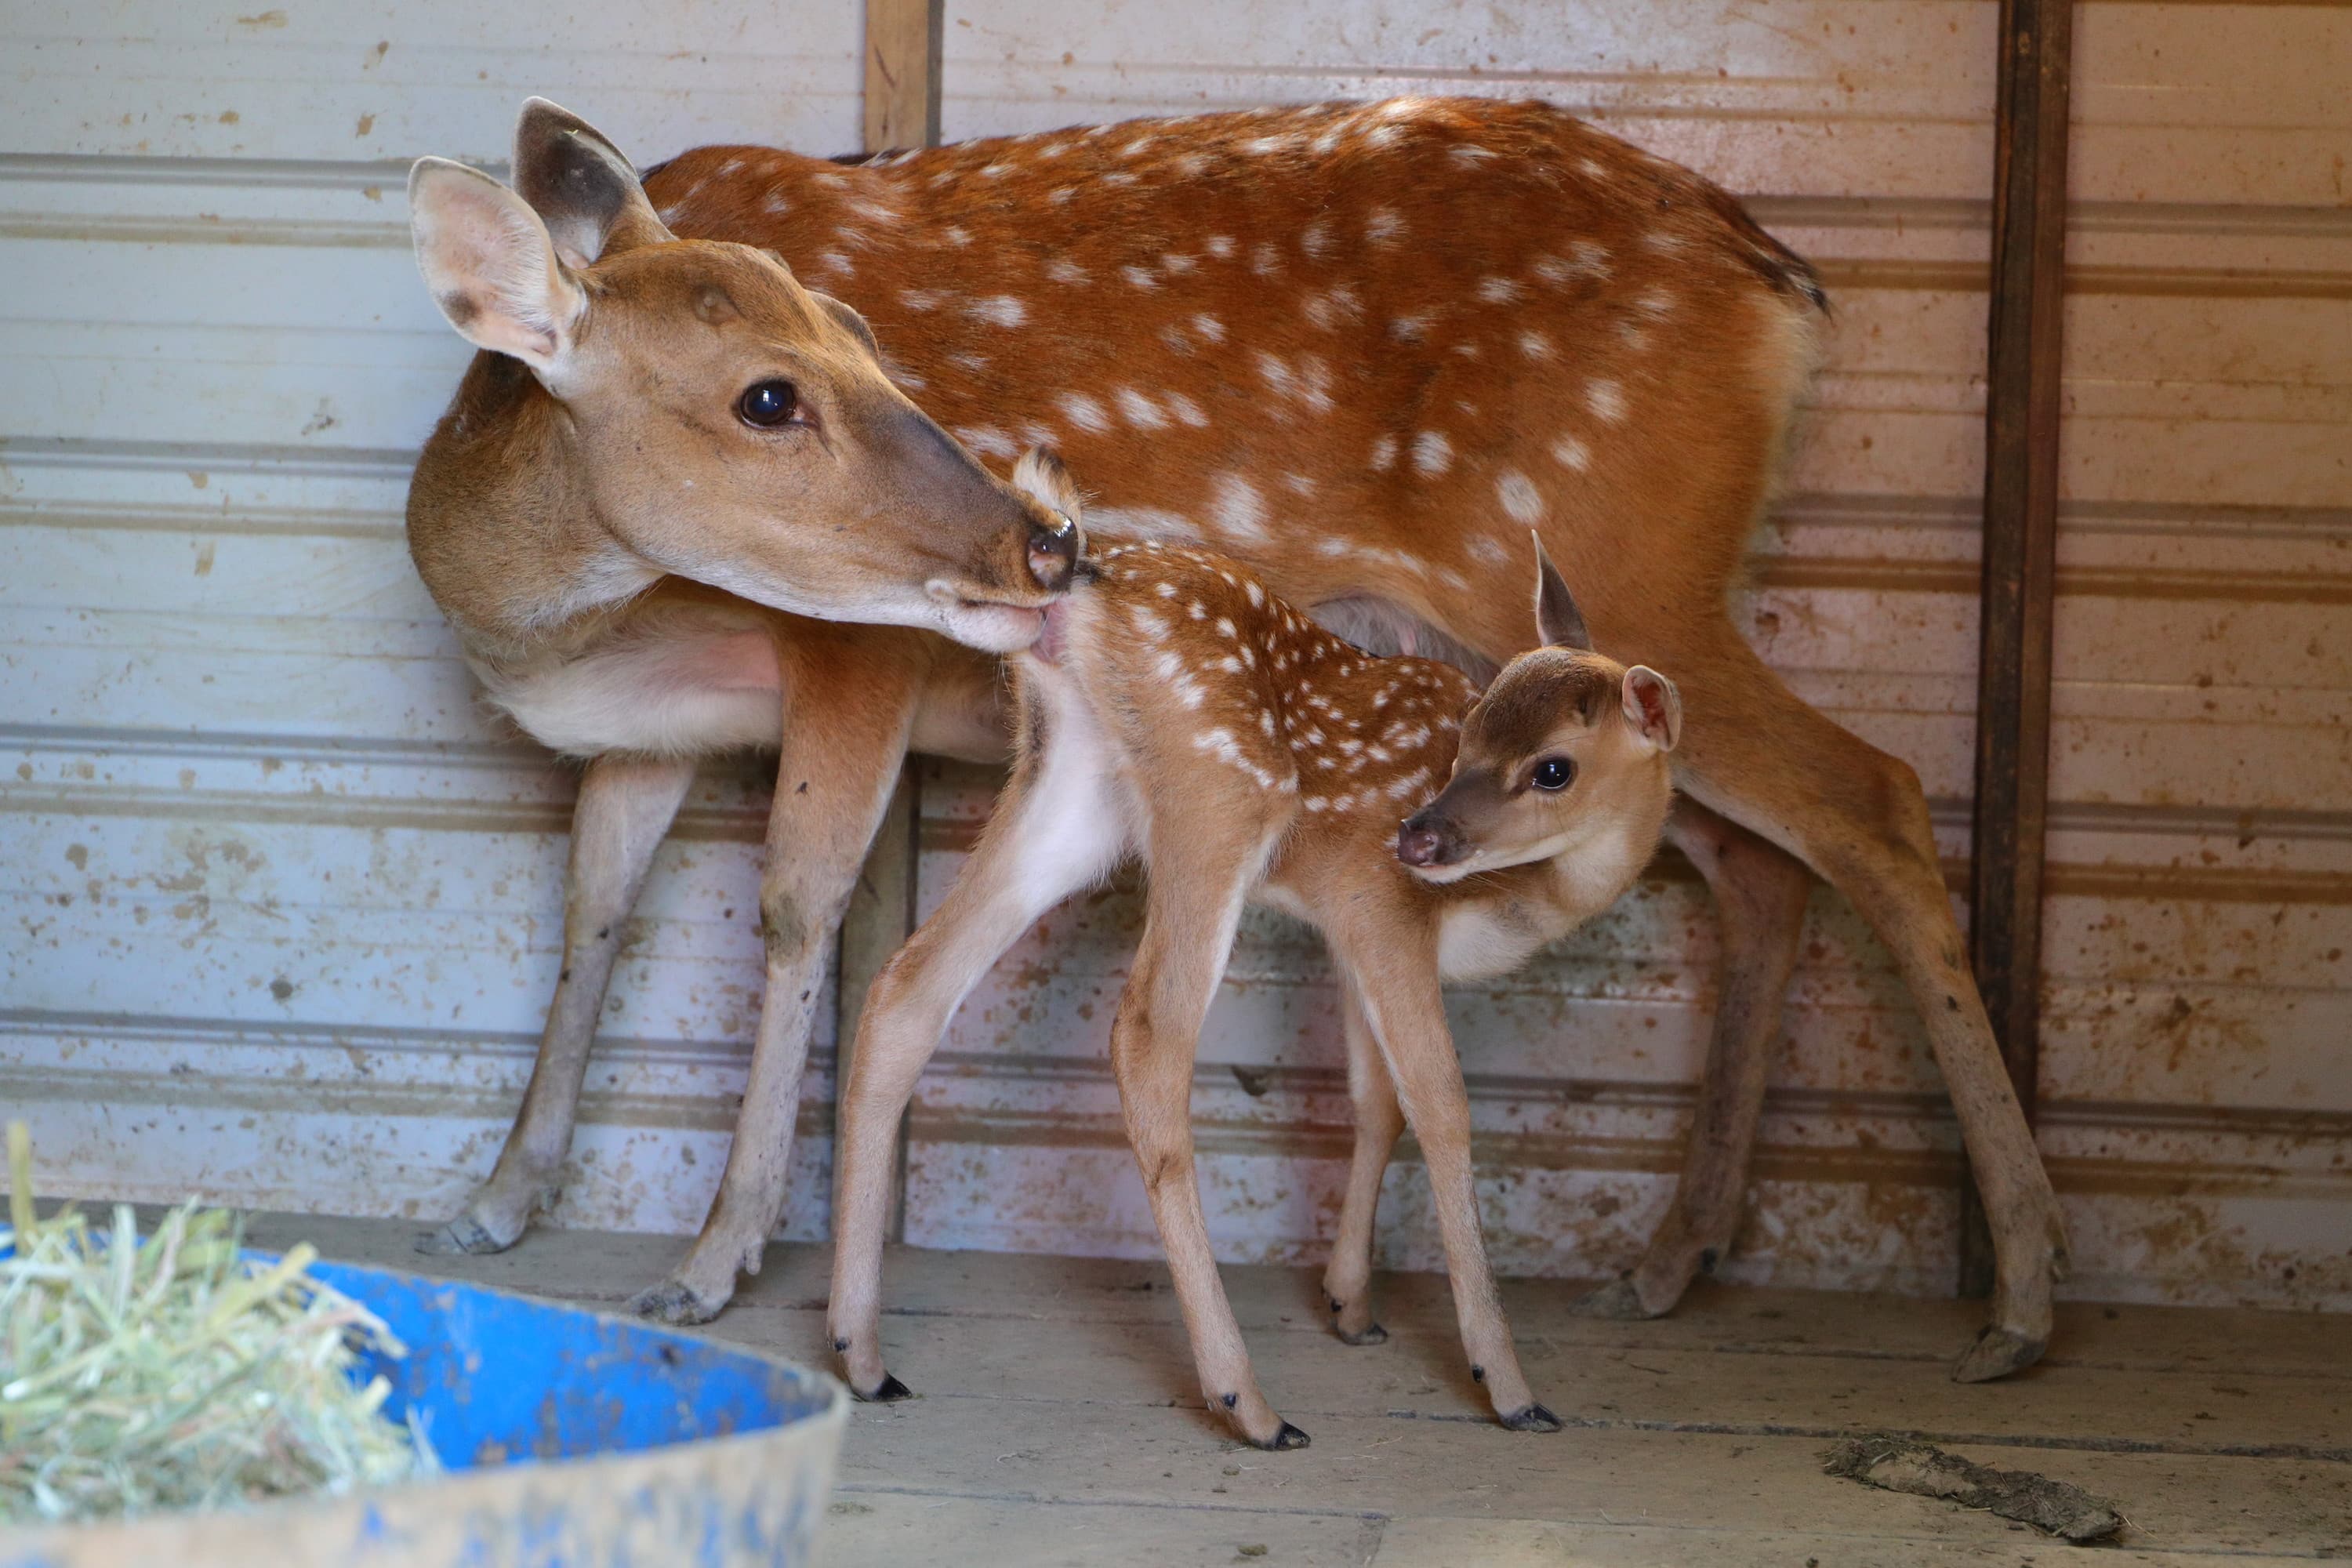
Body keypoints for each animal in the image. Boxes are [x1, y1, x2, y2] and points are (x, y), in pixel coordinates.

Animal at [830, 453, 1684, 1446]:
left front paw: (1351, 1305)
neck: (1528, 897)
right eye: (1469, 736)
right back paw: (1250, 1400)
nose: (1418, 836)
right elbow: (1442, 1107)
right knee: (1148, 1037)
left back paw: (862, 1356)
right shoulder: (1381, 905)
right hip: (1222, 794)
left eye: (1553, 767)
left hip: (1073, 794)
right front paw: (1507, 1382)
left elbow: (1375, 1102)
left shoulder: (1350, 934)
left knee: (908, 986)